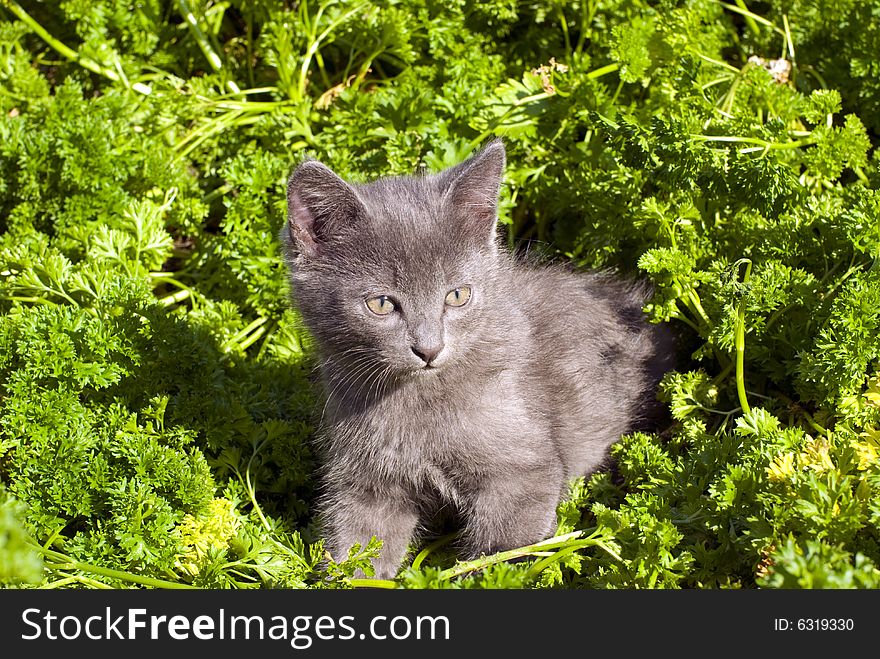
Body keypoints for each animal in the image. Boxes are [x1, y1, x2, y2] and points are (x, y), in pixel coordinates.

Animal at [282, 139, 672, 576]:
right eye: (381, 303)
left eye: (457, 295)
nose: (429, 349)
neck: (418, 404)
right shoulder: (364, 481)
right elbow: (357, 548)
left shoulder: (524, 472)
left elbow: (502, 552)